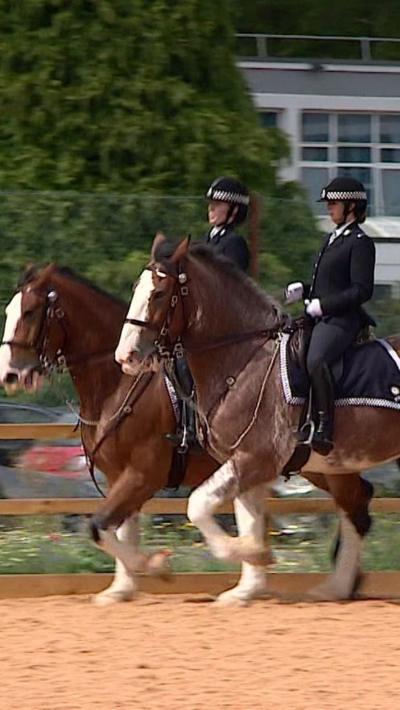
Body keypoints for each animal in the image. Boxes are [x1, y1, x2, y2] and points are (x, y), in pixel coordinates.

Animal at [0, 264, 271, 606]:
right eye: (10, 310)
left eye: (31, 312)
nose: (9, 374)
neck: (120, 382)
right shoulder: (119, 474)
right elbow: (117, 530)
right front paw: (122, 588)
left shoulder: (143, 474)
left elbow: (98, 527)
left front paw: (157, 566)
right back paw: (249, 583)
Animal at [115, 234, 400, 601]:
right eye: (137, 287)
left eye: (159, 294)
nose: (125, 356)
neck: (243, 361)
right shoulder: (244, 462)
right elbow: (246, 517)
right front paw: (247, 585)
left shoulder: (256, 458)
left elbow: (198, 505)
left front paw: (255, 555)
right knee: (355, 507)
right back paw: (335, 587)